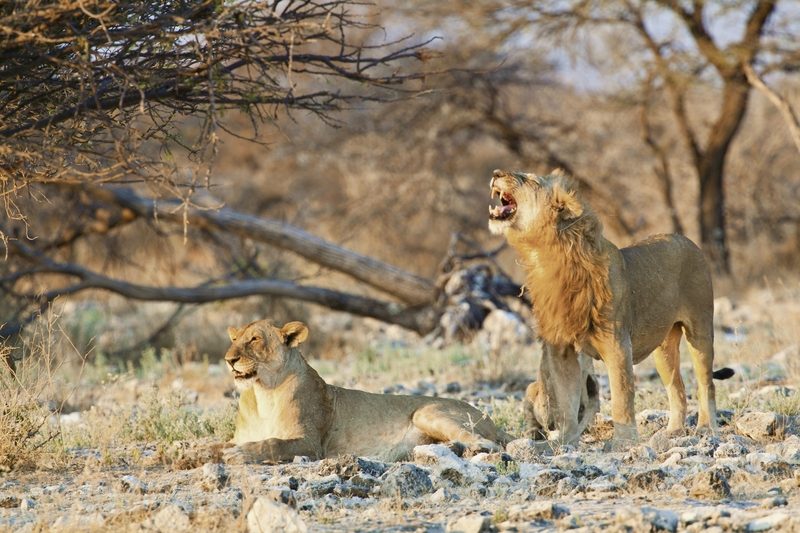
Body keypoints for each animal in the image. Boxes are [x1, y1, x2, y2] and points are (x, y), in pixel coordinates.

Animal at [220, 318, 506, 464]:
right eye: (234, 340)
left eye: (255, 339)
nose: (228, 359)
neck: (263, 392)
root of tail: (489, 418)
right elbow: (216, 445)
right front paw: (214, 452)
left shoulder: (310, 443)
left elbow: (272, 443)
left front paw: (239, 454)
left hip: (426, 413)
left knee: (485, 441)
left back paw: (473, 448)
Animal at [488, 168, 732, 446]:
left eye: (529, 179)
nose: (496, 172)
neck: (547, 256)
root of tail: (688, 241)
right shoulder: (561, 349)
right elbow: (566, 400)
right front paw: (566, 441)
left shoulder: (617, 344)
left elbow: (621, 397)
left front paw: (623, 441)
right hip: (663, 348)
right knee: (676, 388)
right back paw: (673, 432)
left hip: (700, 330)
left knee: (706, 384)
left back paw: (706, 428)